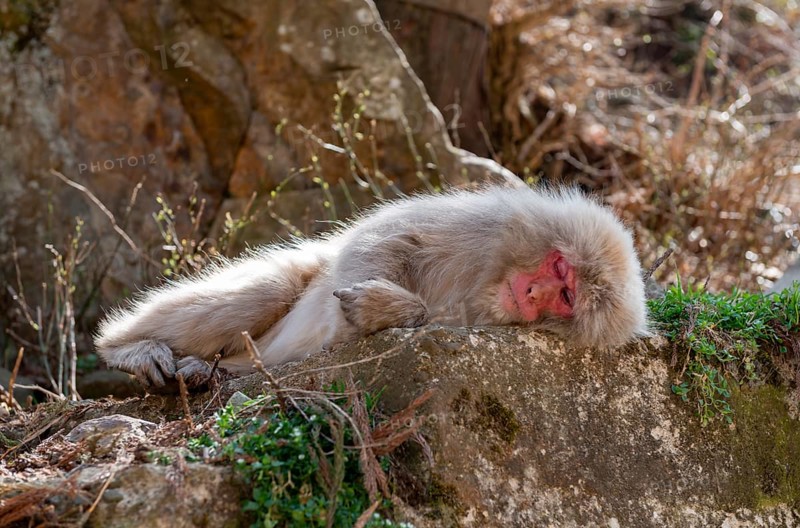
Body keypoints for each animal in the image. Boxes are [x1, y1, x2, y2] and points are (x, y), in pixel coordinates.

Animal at [95, 185, 648, 390]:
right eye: (560, 269)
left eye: (567, 297)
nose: (534, 296)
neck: (490, 282)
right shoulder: (480, 227)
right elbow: (388, 238)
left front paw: (388, 311)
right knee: (271, 288)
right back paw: (128, 349)